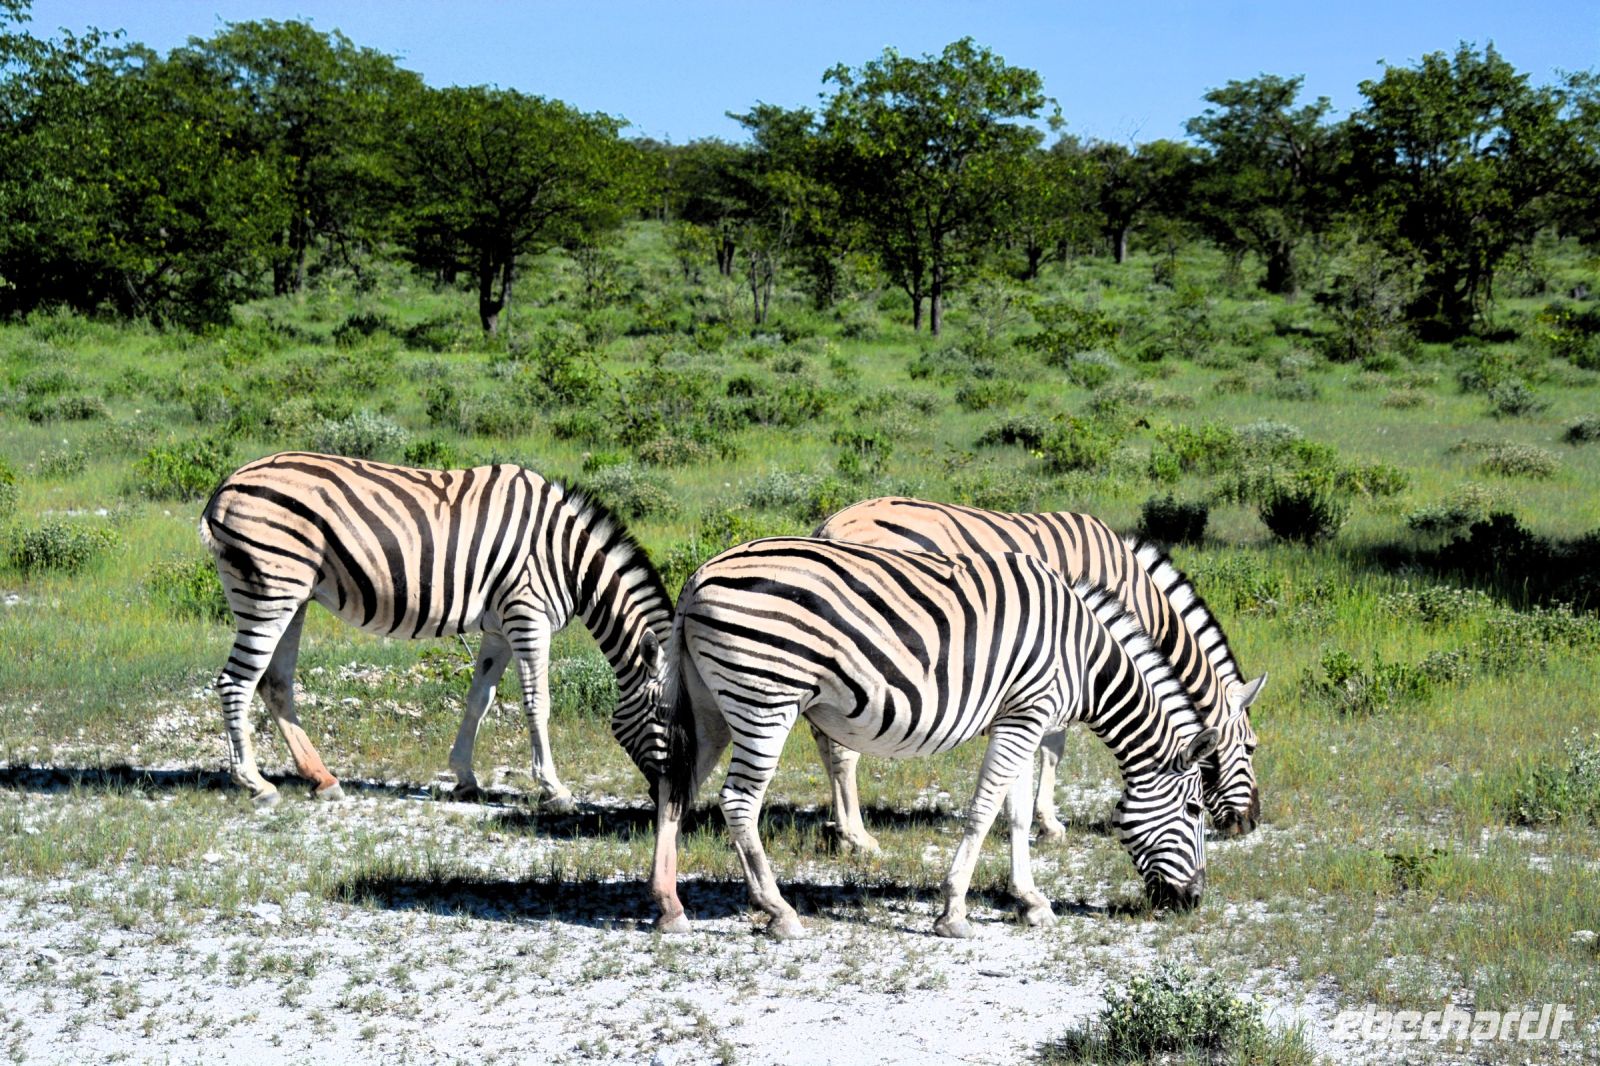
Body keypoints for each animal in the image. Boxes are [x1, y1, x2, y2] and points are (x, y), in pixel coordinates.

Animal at [198, 451, 671, 808]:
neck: (568, 558)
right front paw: (554, 789)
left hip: (293, 598)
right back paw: (255, 784)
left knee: (274, 683)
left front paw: (465, 777)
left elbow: (479, 699)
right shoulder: (527, 615)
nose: (665, 801)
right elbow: (539, 703)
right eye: (667, 718)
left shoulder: (500, 628)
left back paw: (322, 778)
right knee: (236, 682)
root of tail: (224, 487)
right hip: (269, 591)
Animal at [647, 537, 1219, 939]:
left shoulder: (1023, 718)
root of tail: (699, 576)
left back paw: (669, 905)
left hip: (712, 706)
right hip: (766, 699)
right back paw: (778, 911)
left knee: (673, 787)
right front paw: (953, 910)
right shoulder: (1025, 715)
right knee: (738, 801)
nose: (1194, 900)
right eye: (1195, 811)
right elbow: (984, 811)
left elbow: (1015, 816)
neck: (1083, 656)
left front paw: (1030, 900)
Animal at [812, 497, 1266, 850]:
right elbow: (1053, 749)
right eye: (1250, 748)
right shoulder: (1078, 658)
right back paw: (858, 836)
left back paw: (838, 826)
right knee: (842, 749)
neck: (1137, 595)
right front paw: (1049, 824)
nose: (1250, 823)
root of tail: (830, 525)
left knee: (826, 737)